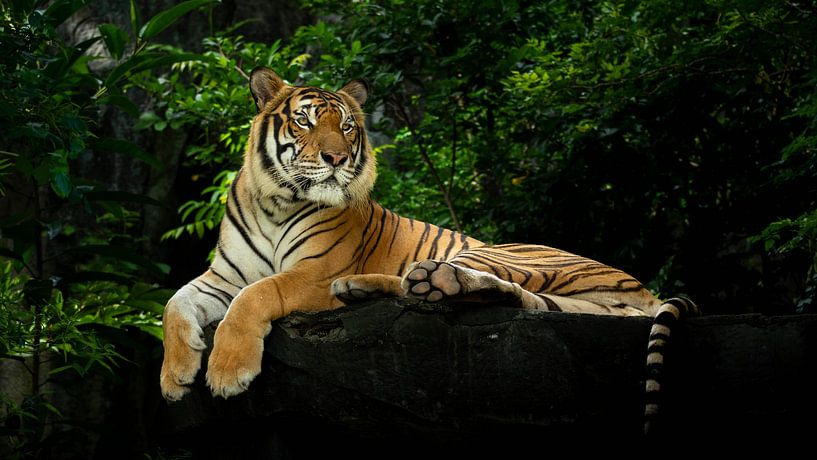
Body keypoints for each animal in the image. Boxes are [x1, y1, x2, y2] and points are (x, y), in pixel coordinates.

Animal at [159, 67, 698, 435]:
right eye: (305, 121)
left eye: (348, 127)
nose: (336, 158)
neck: (276, 200)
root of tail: (640, 286)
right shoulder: (223, 277)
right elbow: (173, 304)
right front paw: (176, 376)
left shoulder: (313, 273)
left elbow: (256, 296)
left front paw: (227, 372)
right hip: (561, 298)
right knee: (510, 297)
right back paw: (369, 290)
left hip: (504, 253)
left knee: (456, 279)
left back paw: (376, 284)